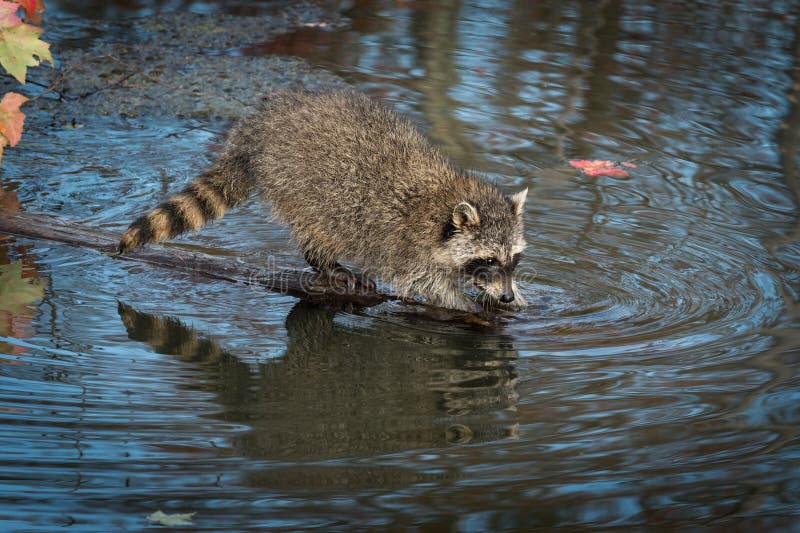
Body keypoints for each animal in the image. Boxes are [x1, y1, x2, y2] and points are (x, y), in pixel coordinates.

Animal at [119, 92, 528, 312]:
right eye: (488, 260)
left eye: (513, 259)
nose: (508, 297)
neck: (446, 196)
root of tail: (260, 127)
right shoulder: (409, 244)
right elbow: (426, 282)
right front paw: (466, 305)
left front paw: (506, 296)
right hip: (297, 184)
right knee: (316, 227)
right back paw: (325, 264)